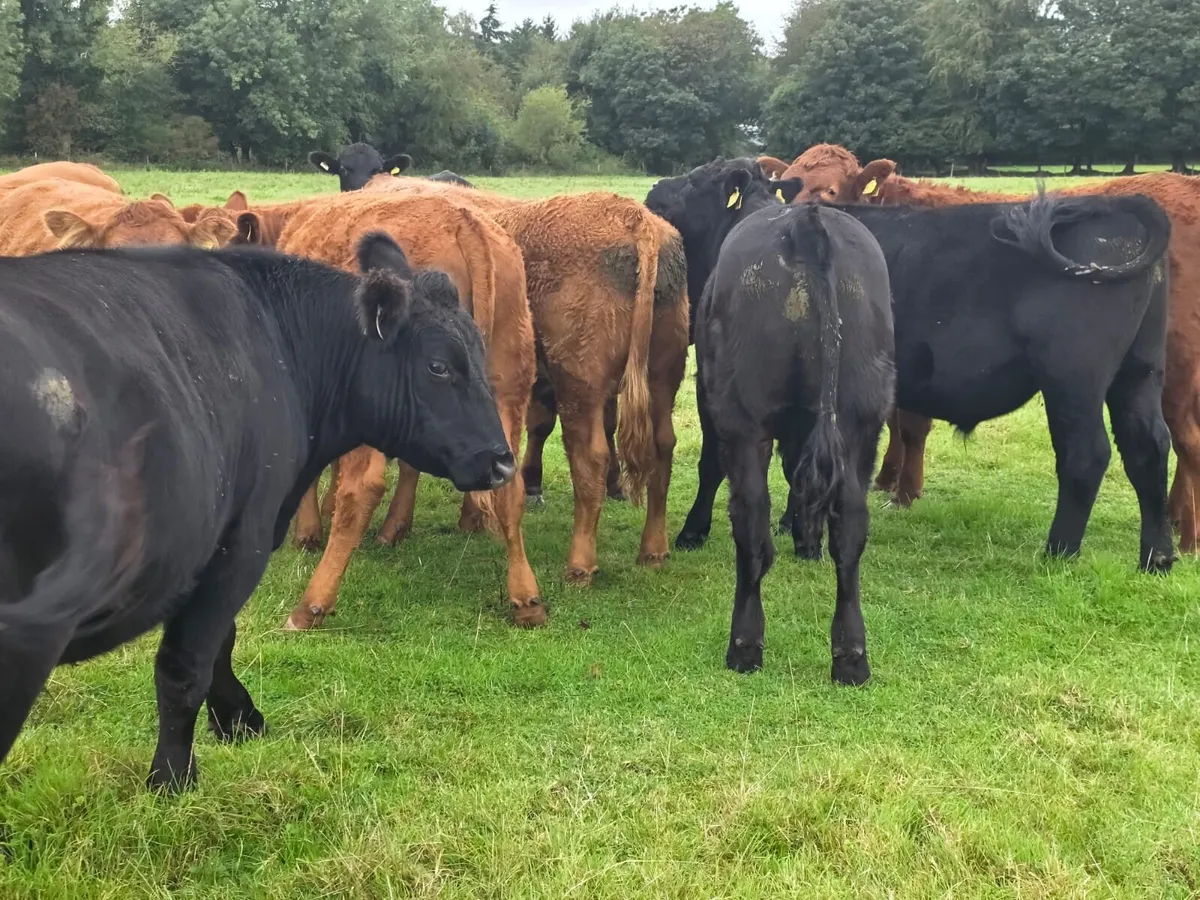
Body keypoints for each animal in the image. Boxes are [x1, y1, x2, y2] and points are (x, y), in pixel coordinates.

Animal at [0, 233, 512, 792]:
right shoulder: (242, 541)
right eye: (439, 366)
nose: (502, 461)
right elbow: (188, 662)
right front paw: (173, 778)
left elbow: (219, 643)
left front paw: (236, 718)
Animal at [214, 191, 542, 627]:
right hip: (507, 394)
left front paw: (308, 530)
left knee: (364, 488)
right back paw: (526, 599)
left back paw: (311, 605)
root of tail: (463, 222)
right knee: (511, 487)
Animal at [365, 176, 691, 586]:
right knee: (663, 446)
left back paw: (580, 565)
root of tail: (635, 219)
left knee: (589, 457)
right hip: (663, 377)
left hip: (580, 384)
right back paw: (653, 550)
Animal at [645, 158, 895, 680]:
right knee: (851, 527)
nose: (655, 188)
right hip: (862, 419)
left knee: (751, 523)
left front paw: (694, 530)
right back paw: (851, 656)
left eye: (696, 179)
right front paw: (805, 536)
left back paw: (744, 645)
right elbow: (797, 472)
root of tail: (806, 226)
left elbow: (710, 468)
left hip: (744, 417)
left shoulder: (710, 395)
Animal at [783, 147, 1200, 554]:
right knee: (1149, 445)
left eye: (830, 190)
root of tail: (1122, 204)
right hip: (1141, 370)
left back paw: (1062, 550)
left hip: (1076, 376)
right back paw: (1158, 555)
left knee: (1090, 452)